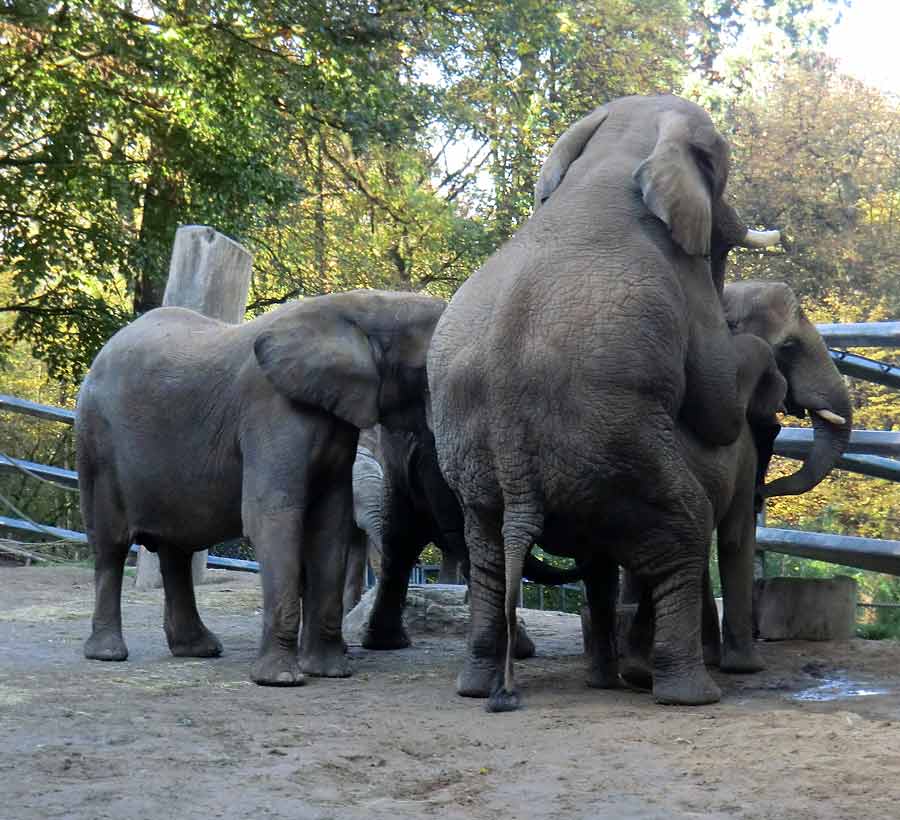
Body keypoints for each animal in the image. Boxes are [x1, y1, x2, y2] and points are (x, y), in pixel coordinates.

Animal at [77, 288, 446, 684]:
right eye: (428, 368)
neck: (359, 306)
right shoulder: (271, 411)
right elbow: (273, 516)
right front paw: (280, 679)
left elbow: (330, 523)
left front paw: (331, 672)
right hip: (97, 444)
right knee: (111, 546)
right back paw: (108, 653)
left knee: (176, 549)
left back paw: (198, 649)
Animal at [426, 94, 784, 712]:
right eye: (721, 162)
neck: (612, 154)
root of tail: (518, 475)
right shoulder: (684, 282)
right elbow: (715, 404)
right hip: (617, 456)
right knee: (684, 536)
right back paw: (690, 695)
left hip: (480, 474)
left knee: (488, 556)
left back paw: (477, 686)